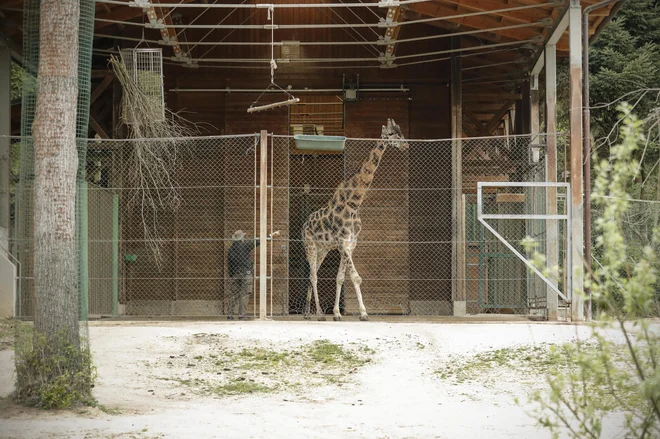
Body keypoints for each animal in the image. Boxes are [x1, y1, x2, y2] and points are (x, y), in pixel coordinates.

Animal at [302, 118, 408, 322]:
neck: (354, 203)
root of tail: (304, 224)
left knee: (313, 273)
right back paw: (319, 314)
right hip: (310, 245)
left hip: (323, 249)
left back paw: (306, 313)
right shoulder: (343, 241)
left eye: (401, 132)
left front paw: (339, 313)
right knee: (313, 276)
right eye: (392, 134)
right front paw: (361, 313)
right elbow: (355, 277)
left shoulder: (351, 243)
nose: (406, 145)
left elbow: (341, 277)